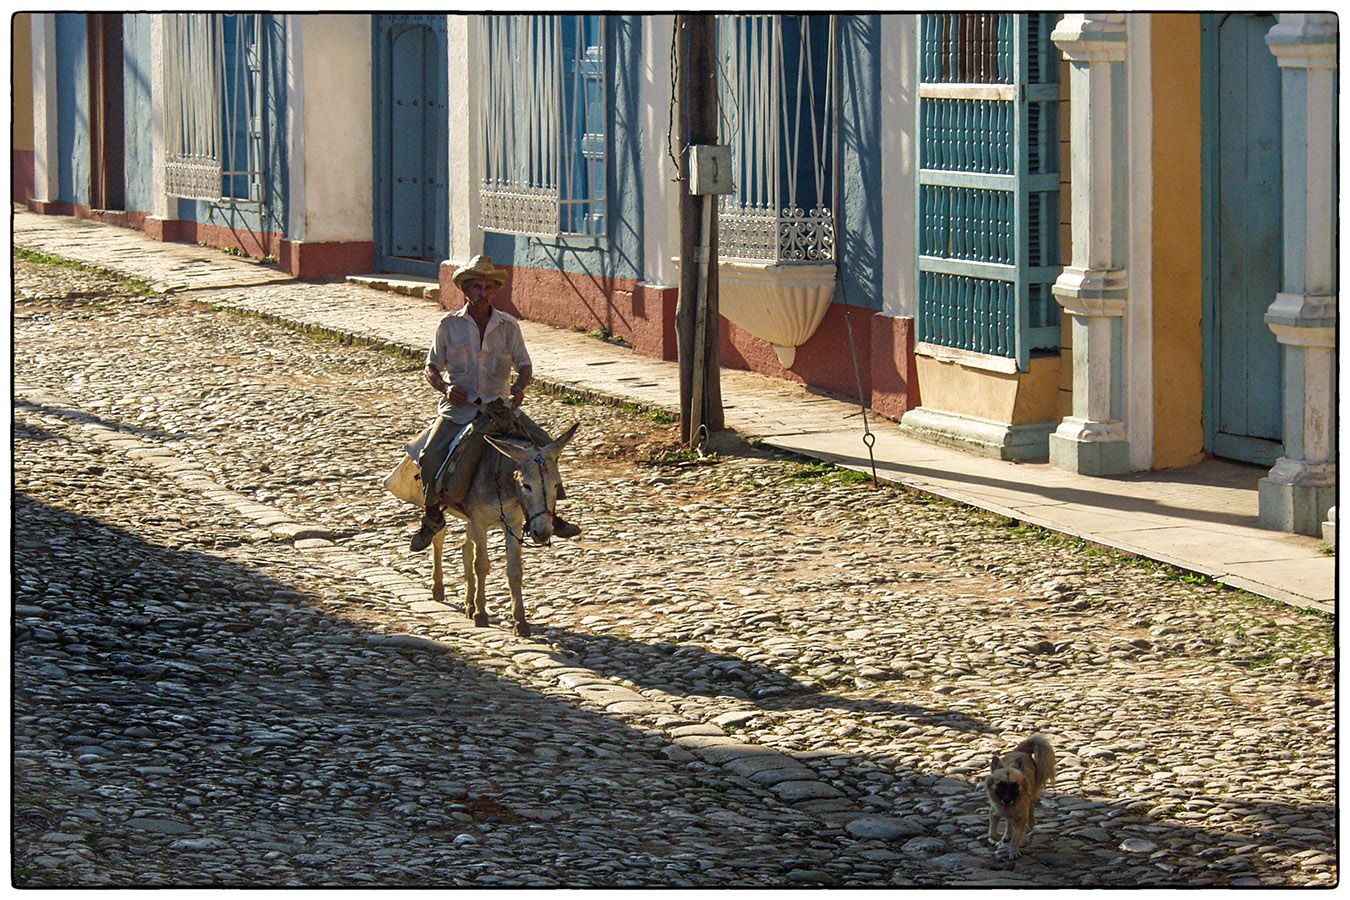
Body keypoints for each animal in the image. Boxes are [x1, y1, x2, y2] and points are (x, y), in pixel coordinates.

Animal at [988, 734, 1058, 863]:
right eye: (1000, 784)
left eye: (1015, 785)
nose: (1007, 800)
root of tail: (1020, 752)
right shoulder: (994, 812)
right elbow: (992, 833)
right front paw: (999, 836)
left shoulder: (1021, 819)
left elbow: (1016, 838)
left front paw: (1014, 851)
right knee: (1009, 822)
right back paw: (1007, 834)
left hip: (1033, 795)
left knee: (1031, 807)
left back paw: (1030, 823)